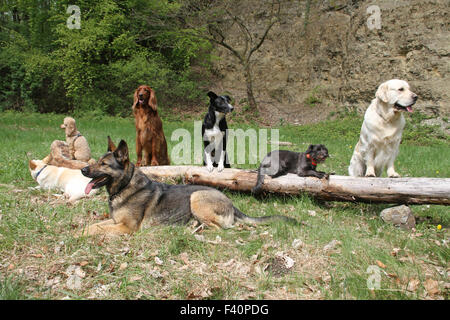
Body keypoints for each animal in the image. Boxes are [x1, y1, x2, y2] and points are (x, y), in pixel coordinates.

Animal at [78, 138, 296, 235]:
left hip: (196, 197)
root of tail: (231, 204)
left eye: (104, 164)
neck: (124, 186)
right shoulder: (115, 222)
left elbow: (97, 230)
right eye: (98, 161)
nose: (82, 169)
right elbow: (93, 226)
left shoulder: (126, 227)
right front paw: (80, 231)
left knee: (220, 228)